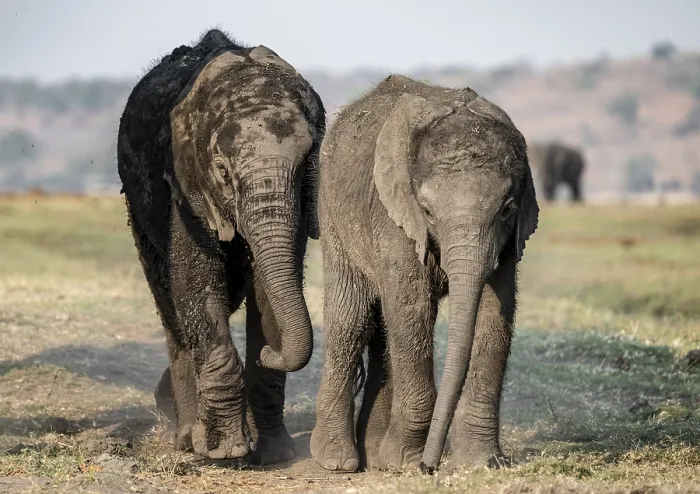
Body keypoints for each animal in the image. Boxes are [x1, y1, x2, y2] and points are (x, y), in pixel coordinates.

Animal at [116, 29, 325, 463]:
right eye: (224, 172)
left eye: (306, 165)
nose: (271, 354)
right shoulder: (185, 186)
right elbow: (196, 283)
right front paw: (225, 452)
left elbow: (268, 292)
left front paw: (275, 454)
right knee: (169, 301)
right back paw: (184, 438)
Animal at [310, 75, 539, 473]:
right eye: (428, 212)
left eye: (508, 209)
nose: (430, 467)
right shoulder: (393, 215)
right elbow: (410, 305)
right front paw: (405, 462)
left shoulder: (509, 240)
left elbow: (495, 311)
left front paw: (481, 463)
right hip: (332, 212)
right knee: (350, 319)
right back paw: (338, 461)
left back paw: (373, 454)